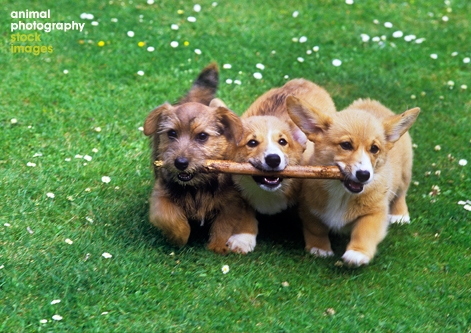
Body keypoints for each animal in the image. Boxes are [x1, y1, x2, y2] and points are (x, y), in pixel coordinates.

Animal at [144, 63, 258, 253]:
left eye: (202, 136)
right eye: (172, 133)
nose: (180, 163)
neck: (197, 186)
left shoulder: (232, 202)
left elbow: (224, 225)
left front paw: (218, 247)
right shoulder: (161, 195)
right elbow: (170, 218)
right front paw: (179, 238)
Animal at [288, 96, 420, 264]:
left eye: (374, 148)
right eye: (346, 145)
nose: (364, 175)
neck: (342, 193)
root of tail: (373, 103)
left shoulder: (375, 212)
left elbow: (365, 231)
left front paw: (357, 253)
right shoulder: (310, 208)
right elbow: (316, 229)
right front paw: (319, 249)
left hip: (405, 173)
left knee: (401, 194)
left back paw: (400, 215)